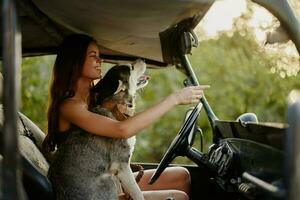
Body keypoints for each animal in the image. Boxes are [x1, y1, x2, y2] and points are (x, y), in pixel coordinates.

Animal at [48, 58, 150, 199]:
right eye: (131, 68)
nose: (143, 59)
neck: (115, 108)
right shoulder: (122, 165)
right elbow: (137, 192)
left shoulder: (115, 170)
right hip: (108, 181)